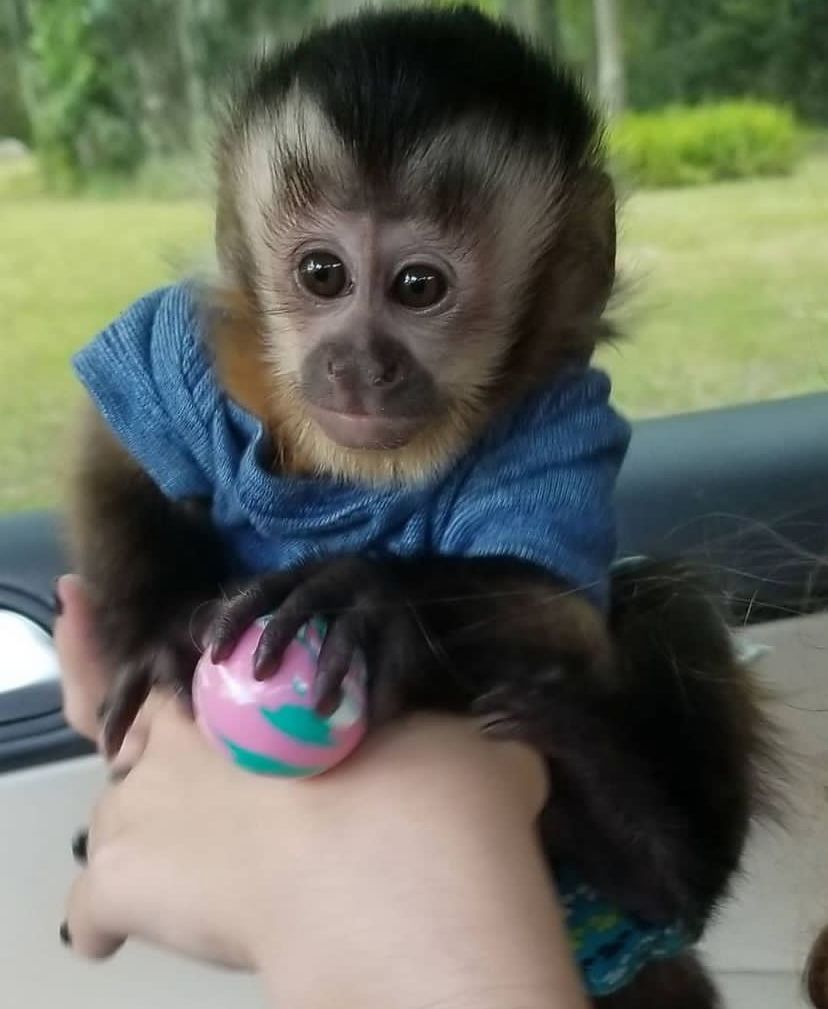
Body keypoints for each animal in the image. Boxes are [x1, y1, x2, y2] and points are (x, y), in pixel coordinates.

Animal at [65, 6, 778, 1005]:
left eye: (417, 287)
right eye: (322, 274)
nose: (358, 363)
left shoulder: (563, 415)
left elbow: (559, 604)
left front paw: (373, 597)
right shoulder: (199, 348)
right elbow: (120, 448)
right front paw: (160, 628)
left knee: (663, 600)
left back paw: (642, 848)